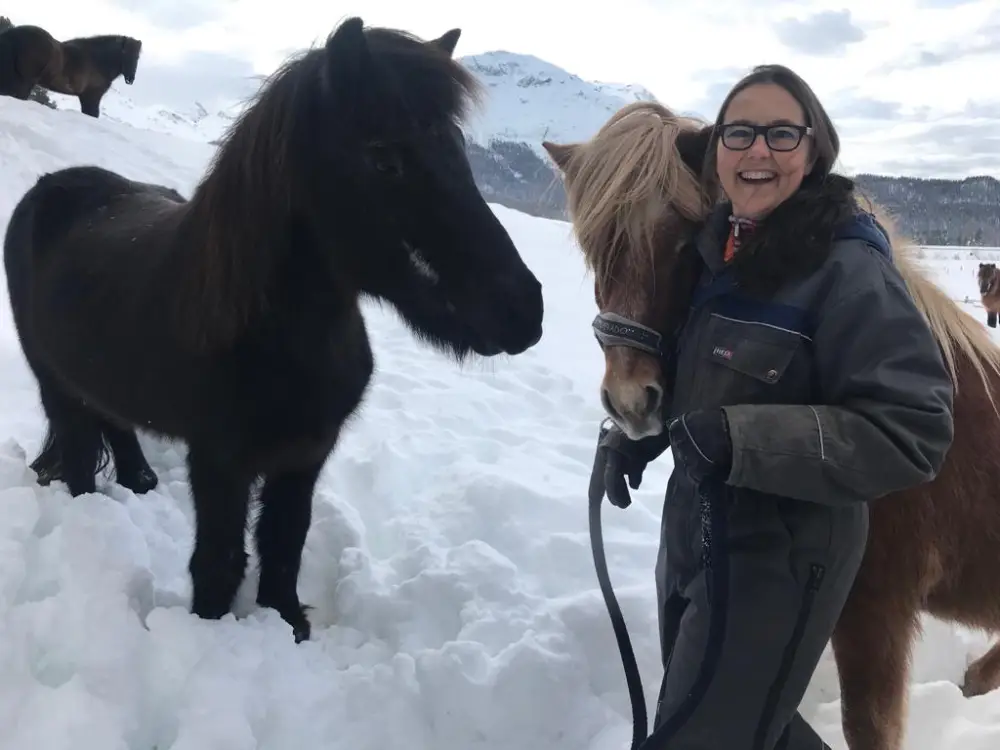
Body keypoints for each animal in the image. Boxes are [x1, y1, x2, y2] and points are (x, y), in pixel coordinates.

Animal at [0, 23, 141, 117]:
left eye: (137, 56)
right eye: (125, 53)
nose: (130, 78)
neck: (97, 61)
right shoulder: (91, 97)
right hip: (24, 82)